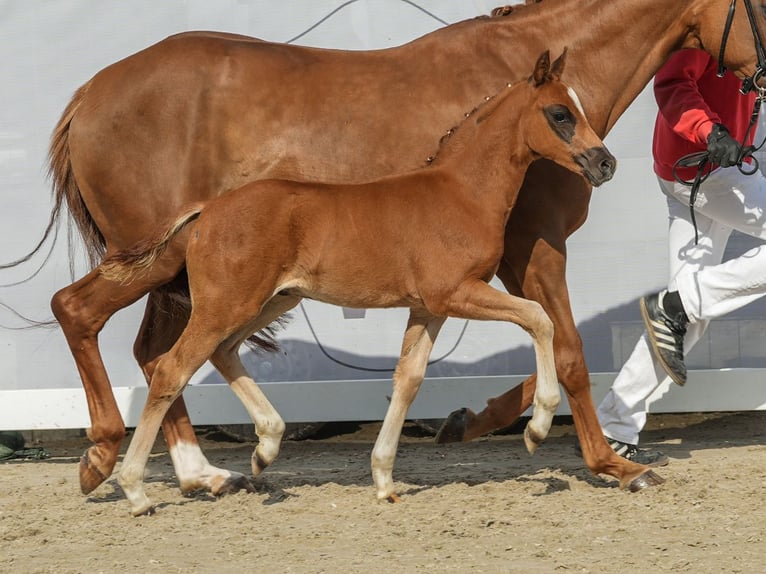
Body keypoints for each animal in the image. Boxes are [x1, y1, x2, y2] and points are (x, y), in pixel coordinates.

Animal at [102, 50, 616, 516]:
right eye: (560, 113)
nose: (605, 164)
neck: (461, 193)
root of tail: (206, 212)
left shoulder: (429, 308)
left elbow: (408, 378)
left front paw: (384, 479)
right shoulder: (455, 293)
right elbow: (539, 318)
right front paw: (538, 427)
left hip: (272, 302)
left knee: (222, 353)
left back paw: (265, 447)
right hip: (225, 305)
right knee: (172, 369)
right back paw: (136, 490)